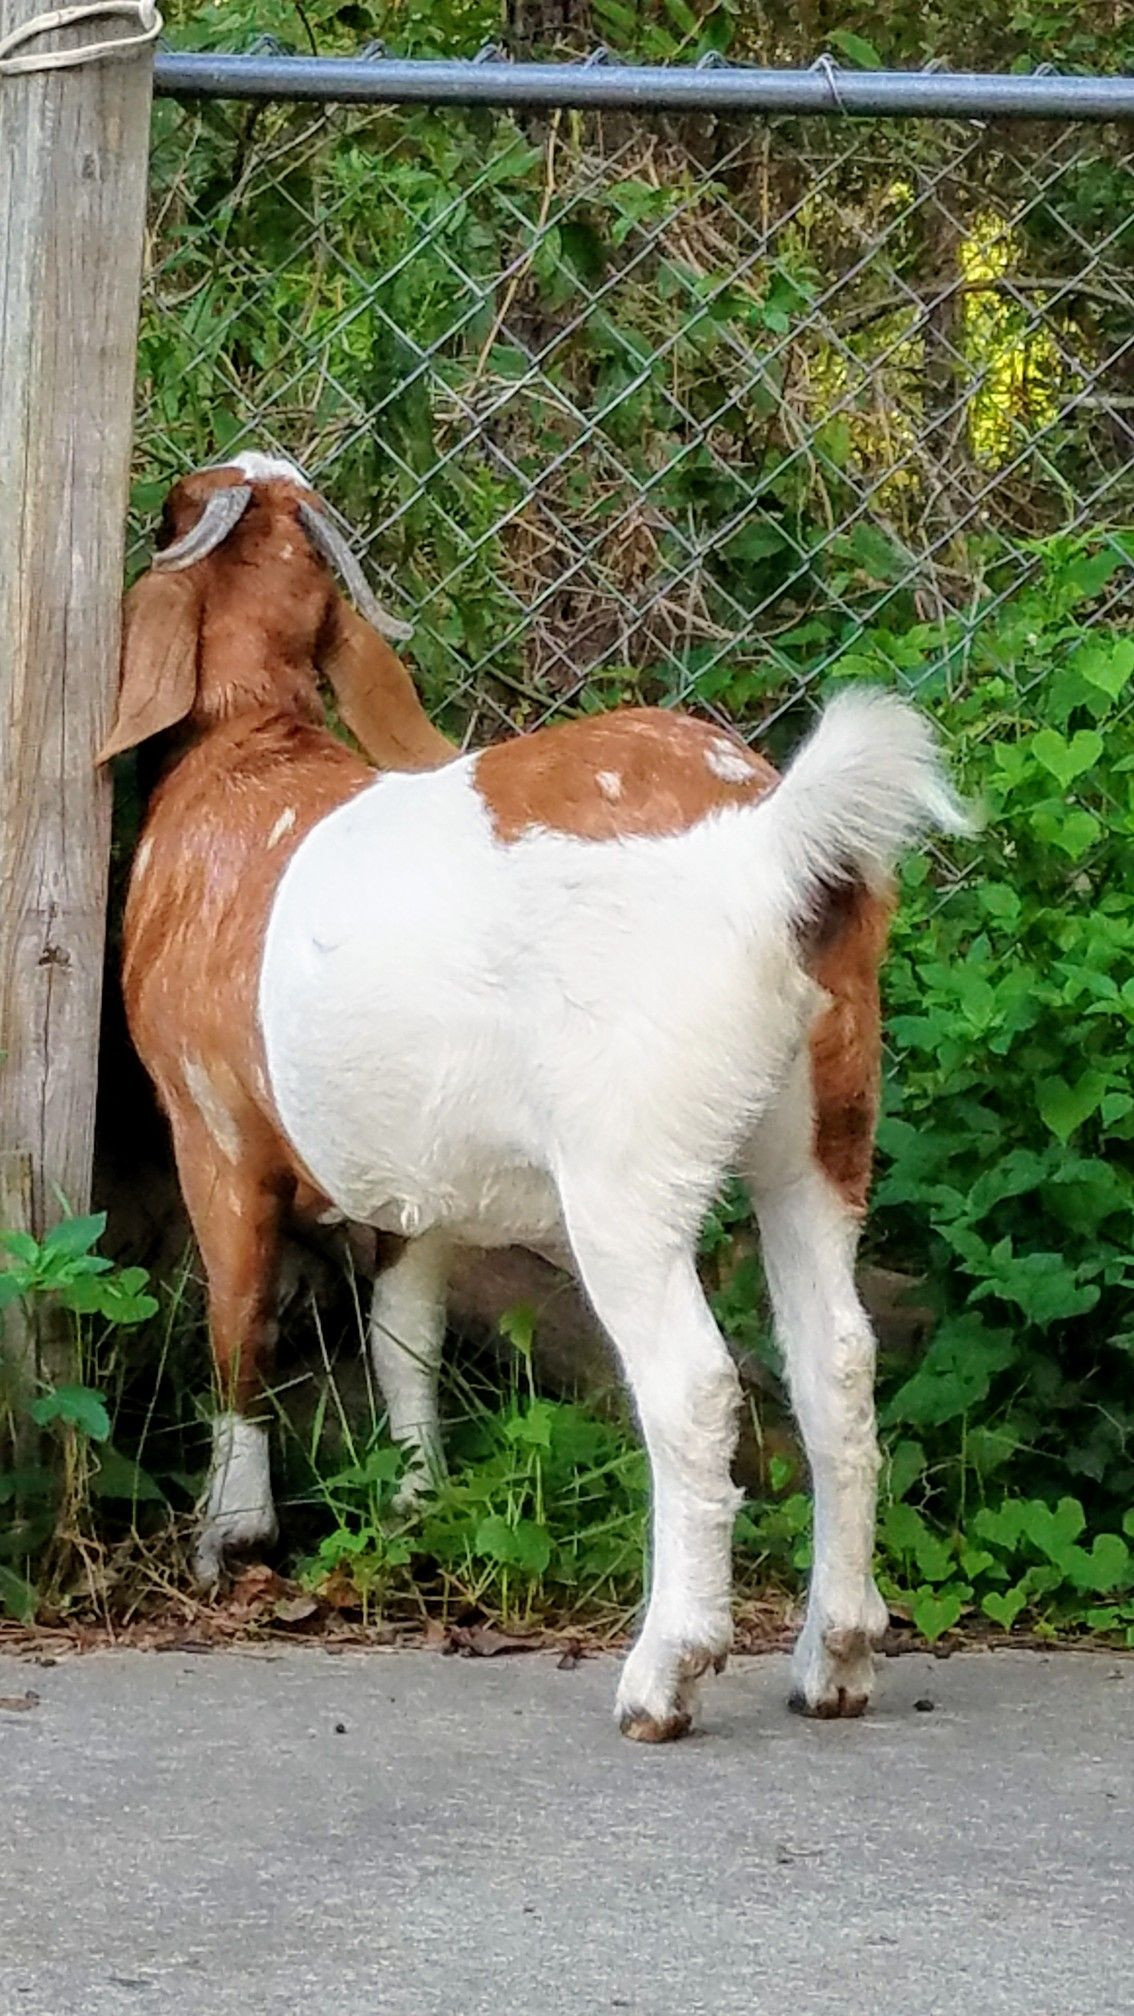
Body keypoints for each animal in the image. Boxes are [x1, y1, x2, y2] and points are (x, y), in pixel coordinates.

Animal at [101, 449, 960, 1741]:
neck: (253, 752)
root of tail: (771, 849)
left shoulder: (214, 1128)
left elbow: (235, 1327)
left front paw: (230, 1535)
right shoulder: (415, 1183)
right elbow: (404, 1341)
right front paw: (417, 1505)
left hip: (626, 1171)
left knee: (694, 1388)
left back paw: (666, 1676)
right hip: (820, 1134)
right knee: (839, 1366)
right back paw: (836, 1660)